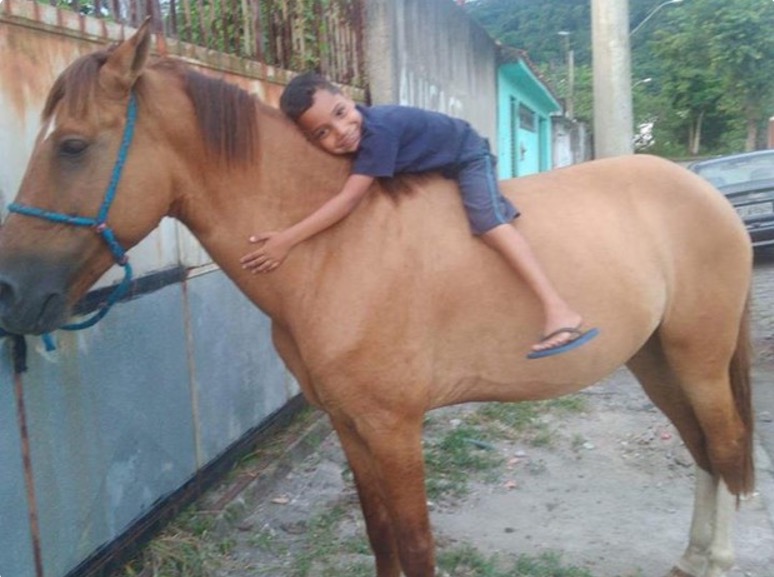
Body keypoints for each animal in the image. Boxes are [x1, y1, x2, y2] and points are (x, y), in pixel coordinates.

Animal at [0, 21, 755, 577]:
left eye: (72, 147)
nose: (10, 292)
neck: (335, 248)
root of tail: (706, 194)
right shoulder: (349, 423)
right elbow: (380, 534)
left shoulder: (394, 428)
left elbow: (415, 543)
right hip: (654, 358)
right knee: (700, 450)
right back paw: (690, 556)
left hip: (698, 357)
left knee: (723, 446)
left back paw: (716, 559)